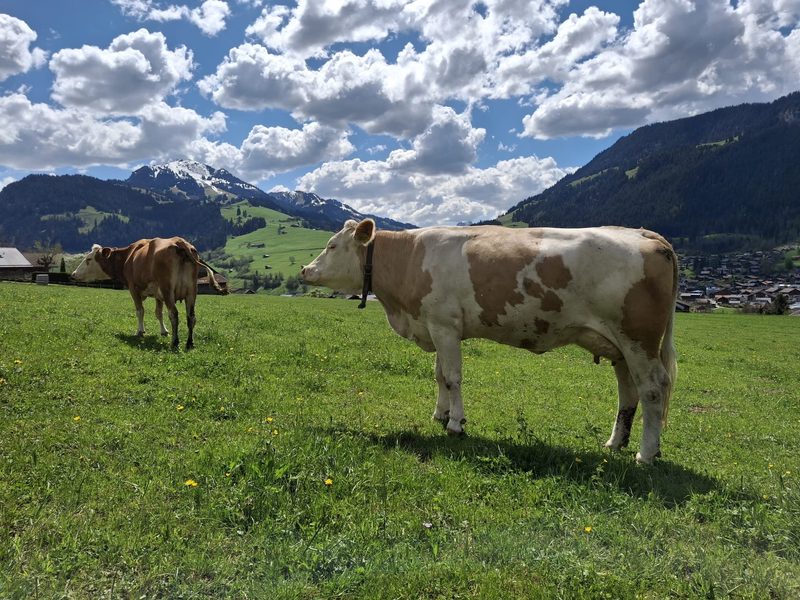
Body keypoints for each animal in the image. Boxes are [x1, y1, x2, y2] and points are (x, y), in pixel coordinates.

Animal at [71, 237, 226, 349]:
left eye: (88, 259)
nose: (73, 274)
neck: (129, 257)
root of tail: (179, 242)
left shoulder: (133, 289)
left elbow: (140, 311)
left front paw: (140, 331)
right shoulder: (159, 295)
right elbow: (159, 313)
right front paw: (163, 331)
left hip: (168, 289)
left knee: (174, 314)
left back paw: (175, 342)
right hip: (191, 292)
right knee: (191, 317)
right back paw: (189, 343)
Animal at [301, 220, 678, 463]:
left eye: (332, 246)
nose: (304, 269)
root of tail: (644, 233)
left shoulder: (445, 325)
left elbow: (453, 377)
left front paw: (456, 424)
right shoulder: (436, 325)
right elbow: (439, 375)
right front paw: (440, 414)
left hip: (639, 339)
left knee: (653, 389)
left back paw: (646, 454)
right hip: (619, 345)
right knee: (628, 393)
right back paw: (616, 443)